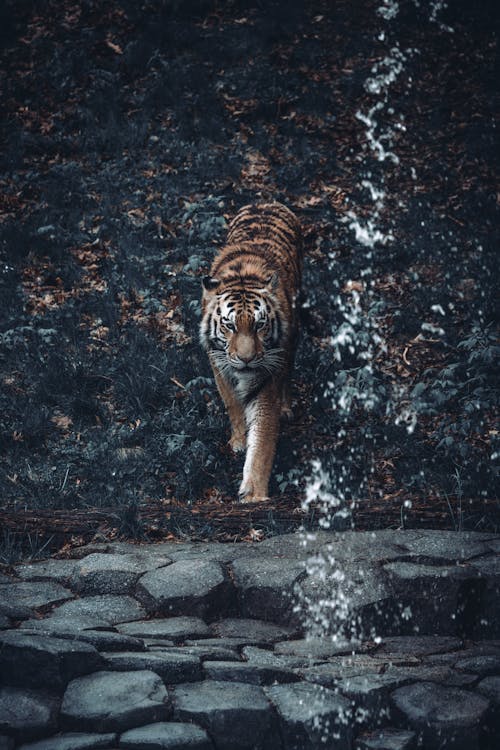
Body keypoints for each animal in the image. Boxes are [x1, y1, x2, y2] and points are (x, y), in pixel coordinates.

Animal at [198, 203, 300, 502]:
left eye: (259, 325)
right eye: (230, 325)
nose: (245, 359)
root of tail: (267, 202)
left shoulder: (267, 378)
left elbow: (263, 440)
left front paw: (254, 492)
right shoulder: (219, 365)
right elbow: (232, 403)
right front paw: (239, 441)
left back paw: (286, 407)